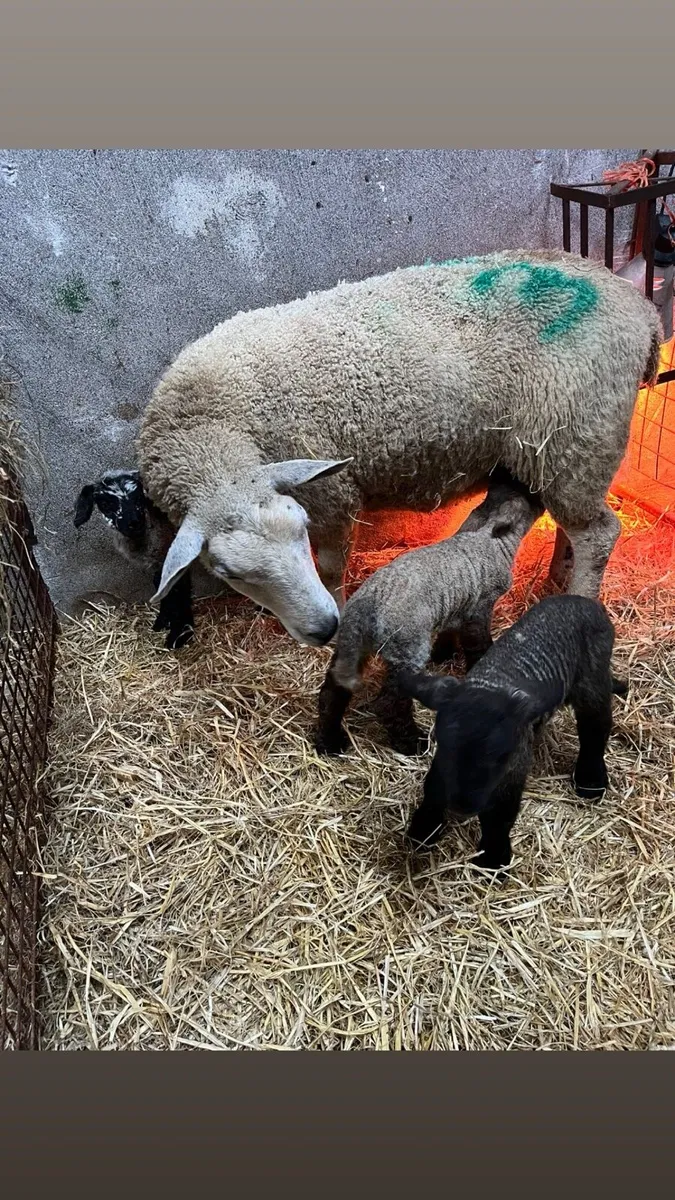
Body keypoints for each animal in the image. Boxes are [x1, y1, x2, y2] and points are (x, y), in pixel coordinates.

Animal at [74, 469, 195, 650]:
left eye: (139, 496)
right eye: (105, 503)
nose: (134, 523)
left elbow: (179, 588)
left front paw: (180, 634)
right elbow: (160, 585)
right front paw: (163, 621)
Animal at [136, 249, 661, 645]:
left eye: (301, 527)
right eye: (229, 572)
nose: (321, 628)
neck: (211, 425)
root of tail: (639, 305)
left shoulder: (330, 497)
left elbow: (331, 570)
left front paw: (338, 613)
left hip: (577, 435)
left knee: (598, 533)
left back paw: (580, 596)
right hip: (557, 454)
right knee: (572, 525)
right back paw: (556, 579)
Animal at [314, 469, 545, 757]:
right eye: (527, 497)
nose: (540, 495)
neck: (492, 539)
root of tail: (368, 604)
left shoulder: (458, 604)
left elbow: (449, 632)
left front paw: (443, 654)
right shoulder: (479, 607)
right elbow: (478, 645)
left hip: (352, 642)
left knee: (334, 690)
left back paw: (329, 742)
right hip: (407, 645)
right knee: (390, 702)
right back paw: (412, 742)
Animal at [398, 593, 628, 875]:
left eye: (499, 757)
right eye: (445, 744)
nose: (462, 806)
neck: (490, 686)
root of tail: (586, 601)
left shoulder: (511, 769)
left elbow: (499, 814)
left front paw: (494, 858)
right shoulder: (444, 758)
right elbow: (433, 786)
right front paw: (423, 829)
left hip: (592, 678)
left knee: (596, 726)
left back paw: (591, 780)